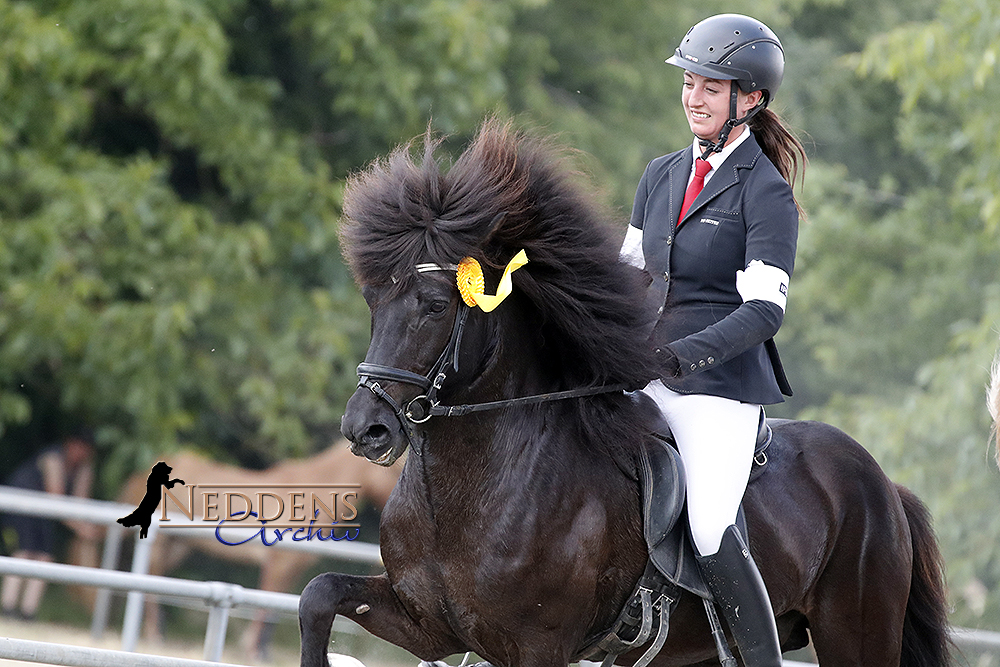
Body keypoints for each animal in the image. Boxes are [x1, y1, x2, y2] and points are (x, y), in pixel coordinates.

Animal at [298, 120, 952, 667]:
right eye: (372, 300)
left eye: (436, 305)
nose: (366, 429)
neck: (466, 496)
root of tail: (884, 485)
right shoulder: (432, 625)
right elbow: (319, 593)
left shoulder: (537, 647)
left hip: (854, 632)